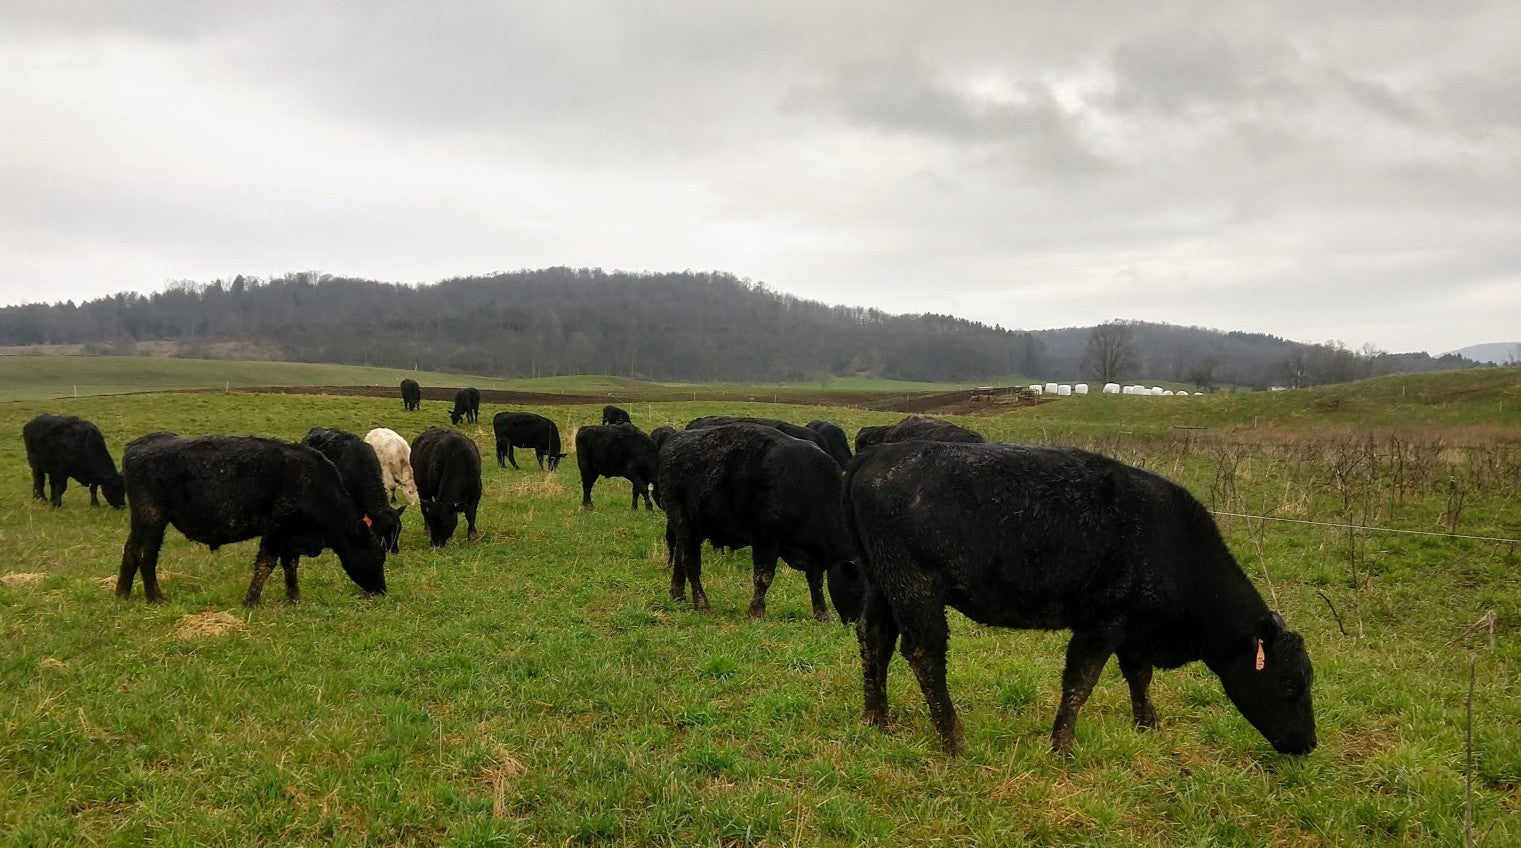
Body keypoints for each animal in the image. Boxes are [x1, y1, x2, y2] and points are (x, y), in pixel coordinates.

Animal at [115, 433, 388, 605]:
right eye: (378, 556)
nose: (382, 590)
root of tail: (137, 446)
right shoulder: (275, 532)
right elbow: (265, 565)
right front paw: (251, 600)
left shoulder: (291, 537)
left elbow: (290, 566)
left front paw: (295, 598)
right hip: (152, 519)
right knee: (145, 555)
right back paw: (155, 598)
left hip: (140, 522)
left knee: (130, 550)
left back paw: (122, 594)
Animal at [658, 424, 864, 624]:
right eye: (860, 589)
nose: (858, 622)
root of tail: (674, 440)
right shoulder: (766, 541)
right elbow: (764, 577)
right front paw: (756, 612)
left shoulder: (813, 551)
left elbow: (816, 581)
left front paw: (822, 614)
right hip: (683, 520)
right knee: (691, 562)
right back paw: (703, 606)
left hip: (694, 528)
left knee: (680, 555)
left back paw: (678, 593)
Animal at [845, 441, 1316, 757]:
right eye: (1289, 683)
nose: (1308, 744)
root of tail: (878, 454)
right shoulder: (1103, 623)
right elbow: (1080, 682)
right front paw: (1063, 746)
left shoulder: (1133, 629)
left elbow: (1138, 675)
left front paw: (1148, 725)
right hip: (916, 590)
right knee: (924, 654)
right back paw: (953, 739)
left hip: (880, 584)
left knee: (874, 640)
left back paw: (877, 720)